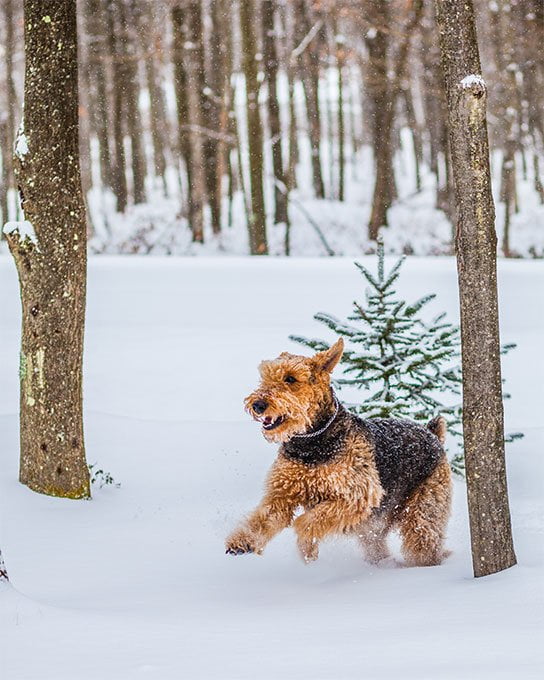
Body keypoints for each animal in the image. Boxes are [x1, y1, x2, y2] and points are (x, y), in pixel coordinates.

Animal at [225, 338, 450, 564]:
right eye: (264, 376)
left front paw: (306, 544)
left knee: (425, 545)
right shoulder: (281, 493)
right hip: (375, 530)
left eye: (290, 378)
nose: (257, 405)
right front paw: (242, 542)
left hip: (422, 515)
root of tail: (433, 434)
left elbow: (310, 521)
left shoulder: (358, 495)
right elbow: (261, 520)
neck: (311, 444)